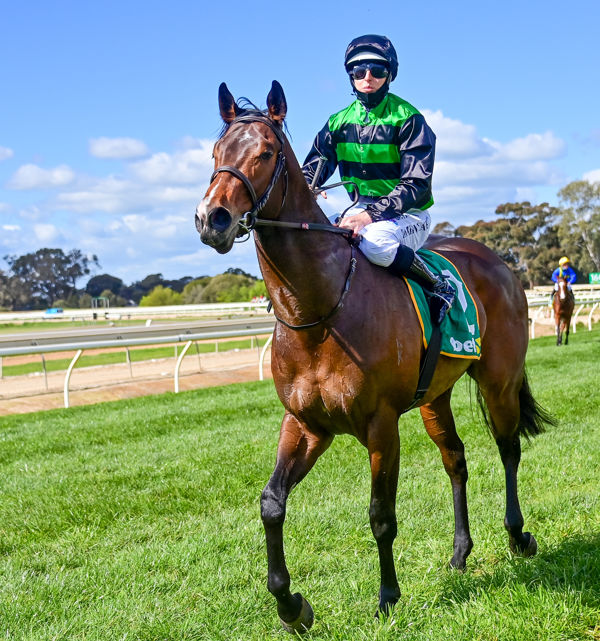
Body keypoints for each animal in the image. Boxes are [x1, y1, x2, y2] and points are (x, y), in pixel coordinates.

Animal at [195, 82, 556, 632]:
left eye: (267, 152)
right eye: (216, 152)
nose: (212, 218)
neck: (321, 310)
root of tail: (497, 261)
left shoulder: (381, 425)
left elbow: (380, 513)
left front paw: (387, 596)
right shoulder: (305, 423)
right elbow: (271, 503)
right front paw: (291, 605)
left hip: (498, 380)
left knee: (508, 448)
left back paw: (518, 536)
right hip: (434, 397)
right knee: (456, 459)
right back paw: (460, 553)